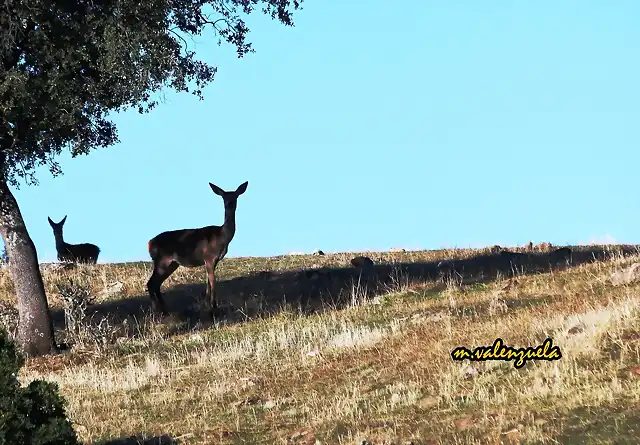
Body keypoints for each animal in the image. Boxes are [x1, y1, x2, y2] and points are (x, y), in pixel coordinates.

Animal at [148, 179, 250, 318]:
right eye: (223, 197)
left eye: (236, 196)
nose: (229, 204)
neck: (222, 237)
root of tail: (149, 243)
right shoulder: (209, 257)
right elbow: (213, 281)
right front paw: (213, 306)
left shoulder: (213, 260)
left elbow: (208, 282)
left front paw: (207, 304)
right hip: (162, 260)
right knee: (151, 283)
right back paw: (157, 311)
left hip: (172, 263)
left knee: (156, 284)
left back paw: (165, 310)